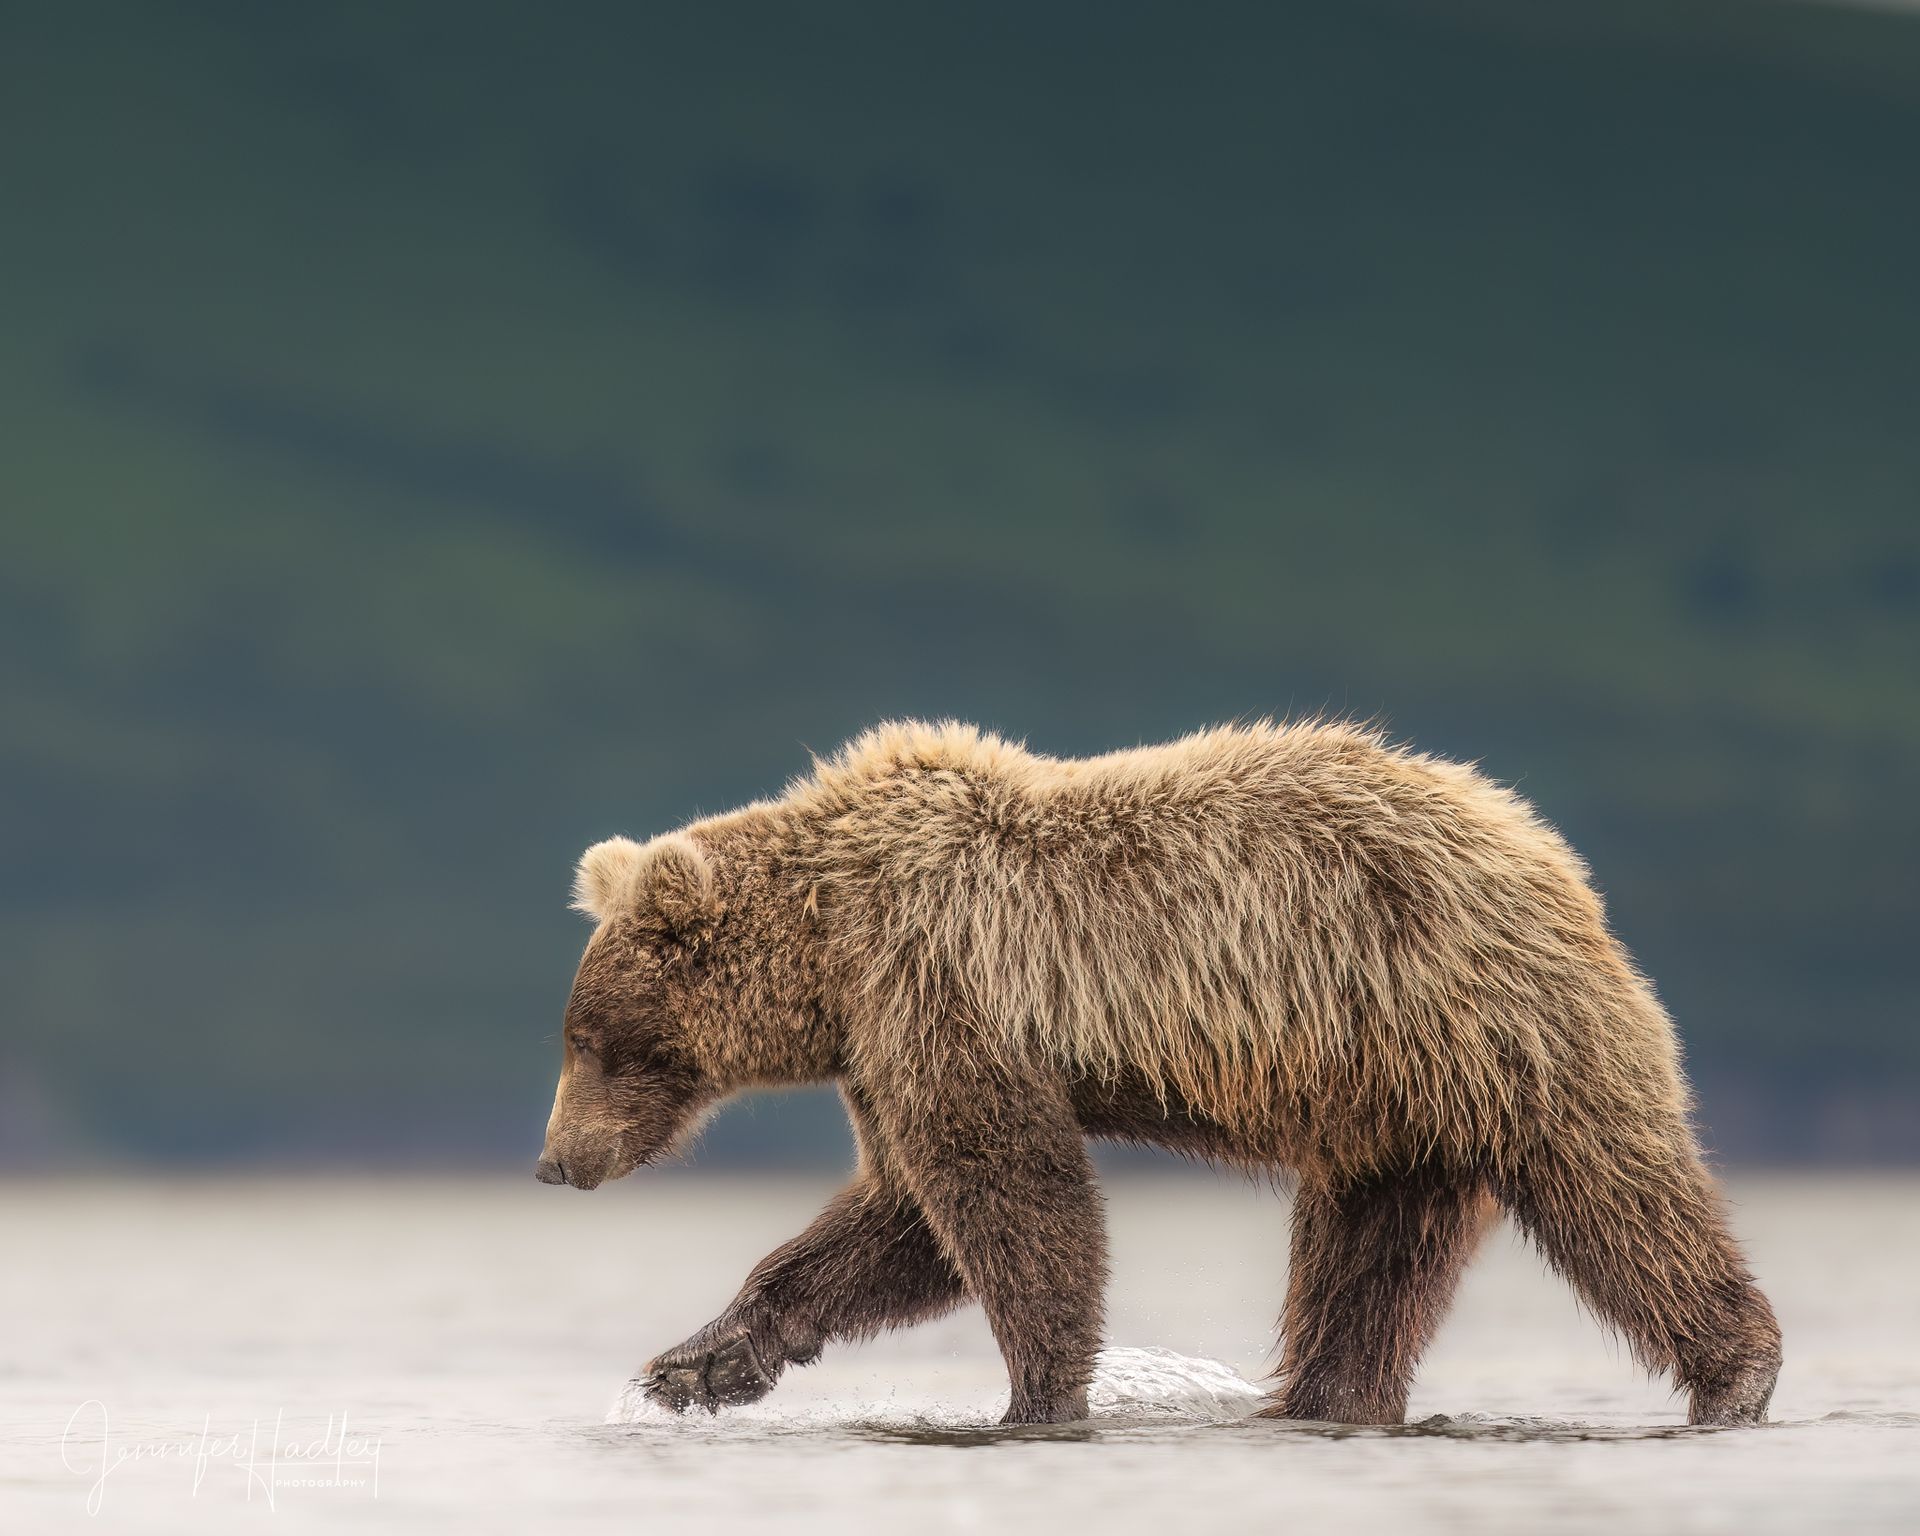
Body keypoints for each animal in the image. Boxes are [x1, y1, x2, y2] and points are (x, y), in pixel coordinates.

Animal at [536, 719, 1781, 1427]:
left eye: (590, 1040)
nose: (554, 1162)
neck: (832, 945)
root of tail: (1539, 845)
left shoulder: (946, 990)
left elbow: (1005, 1195)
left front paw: (1040, 1395)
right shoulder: (886, 1042)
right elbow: (898, 1220)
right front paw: (698, 1364)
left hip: (1484, 1019)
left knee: (1613, 1188)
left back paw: (1737, 1371)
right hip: (1396, 1100)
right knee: (1371, 1258)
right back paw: (1329, 1393)